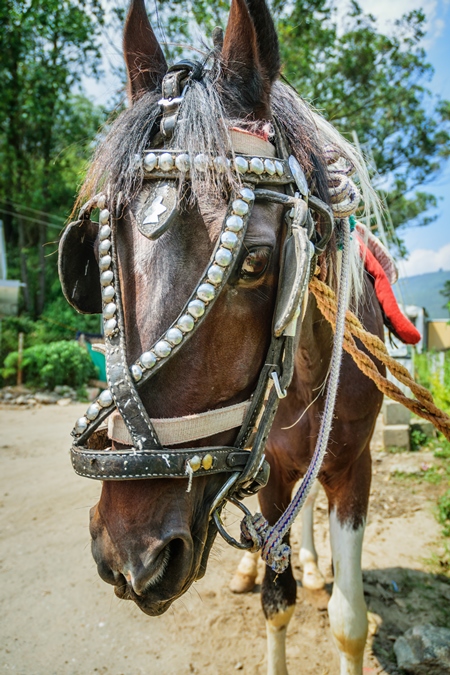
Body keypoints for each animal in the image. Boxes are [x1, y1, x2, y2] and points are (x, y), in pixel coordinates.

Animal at [59, 1, 384, 675]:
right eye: (95, 262)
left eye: (256, 262)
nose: (131, 554)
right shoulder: (272, 469)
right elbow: (276, 603)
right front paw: (268, 576)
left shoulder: (355, 467)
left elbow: (348, 622)